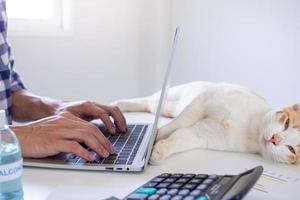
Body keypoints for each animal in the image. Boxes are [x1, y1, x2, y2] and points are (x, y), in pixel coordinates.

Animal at [115, 81, 300, 164]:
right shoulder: (204, 102)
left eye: (291, 149)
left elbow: (179, 138)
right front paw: (158, 134)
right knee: (148, 99)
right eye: (286, 123)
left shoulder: (199, 135)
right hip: (174, 95)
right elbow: (179, 123)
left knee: (151, 105)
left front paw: (160, 149)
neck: (250, 129)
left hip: (169, 107)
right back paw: (118, 104)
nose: (275, 139)